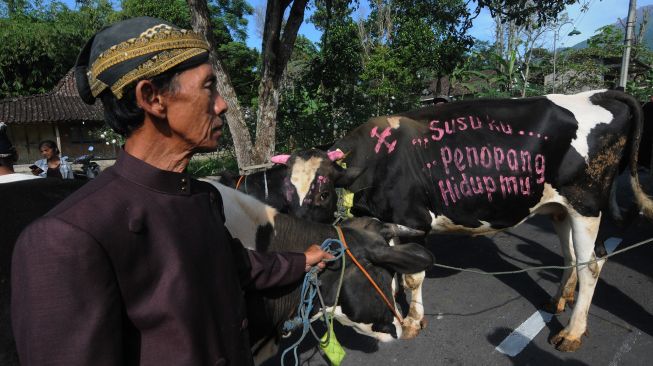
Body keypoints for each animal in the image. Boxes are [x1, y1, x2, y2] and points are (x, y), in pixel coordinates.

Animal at [328, 89, 652, 352]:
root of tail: (598, 93)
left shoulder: (413, 220)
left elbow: (412, 276)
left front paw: (412, 321)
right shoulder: (388, 222)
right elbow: (396, 268)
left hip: (585, 204)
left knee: (592, 265)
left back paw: (572, 333)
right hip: (560, 207)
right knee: (571, 256)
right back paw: (558, 300)